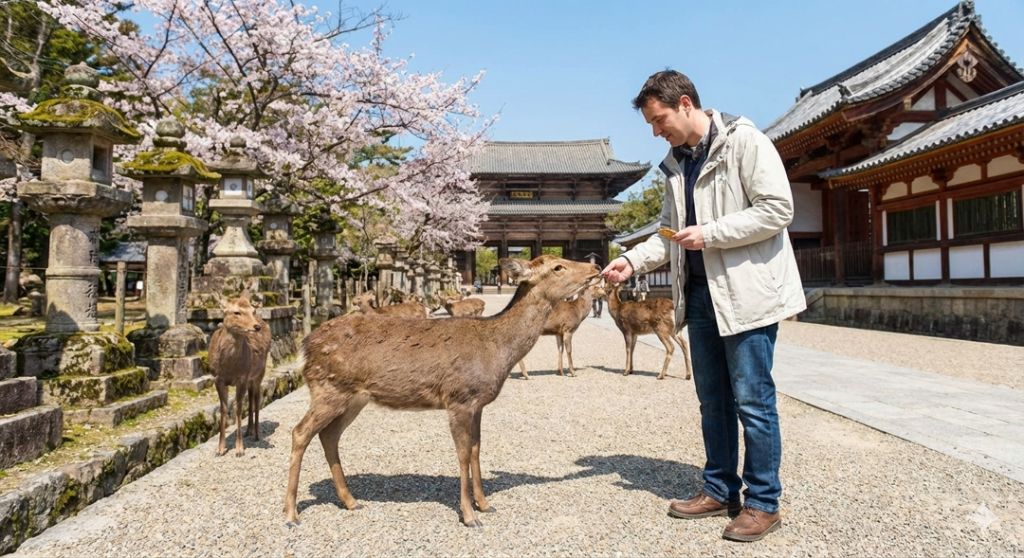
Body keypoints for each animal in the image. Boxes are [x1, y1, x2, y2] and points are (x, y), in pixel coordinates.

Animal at [209, 294, 273, 456]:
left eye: (253, 310)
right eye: (236, 312)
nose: (256, 326)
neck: (229, 367)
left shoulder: (242, 378)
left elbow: (238, 409)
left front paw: (239, 450)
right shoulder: (217, 379)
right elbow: (224, 409)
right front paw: (220, 449)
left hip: (259, 373)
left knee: (256, 399)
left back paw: (256, 434)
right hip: (250, 378)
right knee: (250, 398)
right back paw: (248, 431)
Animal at [284, 255, 601, 527]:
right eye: (558, 267)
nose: (595, 268)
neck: (497, 349)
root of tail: (304, 346)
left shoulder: (478, 403)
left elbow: (476, 449)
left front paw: (485, 505)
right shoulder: (459, 398)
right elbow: (462, 454)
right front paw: (469, 516)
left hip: (352, 397)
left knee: (329, 435)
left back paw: (351, 501)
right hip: (328, 388)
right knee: (300, 432)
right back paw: (291, 514)